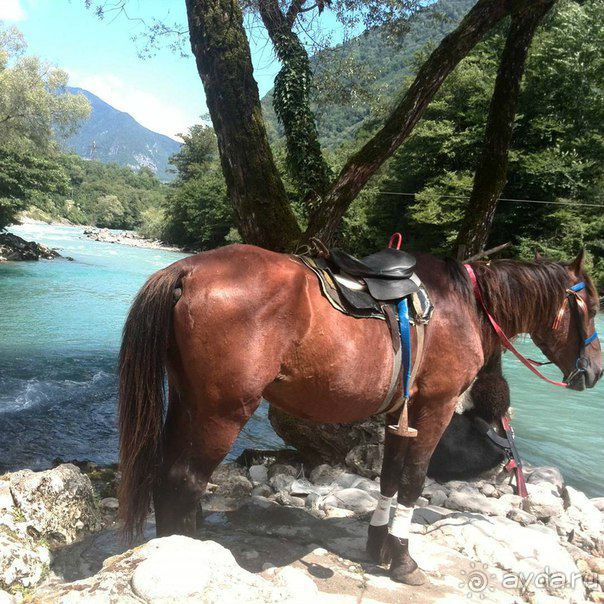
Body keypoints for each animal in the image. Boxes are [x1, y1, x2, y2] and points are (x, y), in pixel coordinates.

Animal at [117, 245, 600, 584]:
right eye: (593, 308)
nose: (593, 372)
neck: (463, 307)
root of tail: (187, 271)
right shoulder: (436, 408)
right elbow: (413, 482)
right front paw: (403, 560)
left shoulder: (398, 414)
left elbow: (388, 479)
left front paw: (378, 545)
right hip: (221, 414)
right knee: (185, 480)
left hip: (188, 403)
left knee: (166, 476)